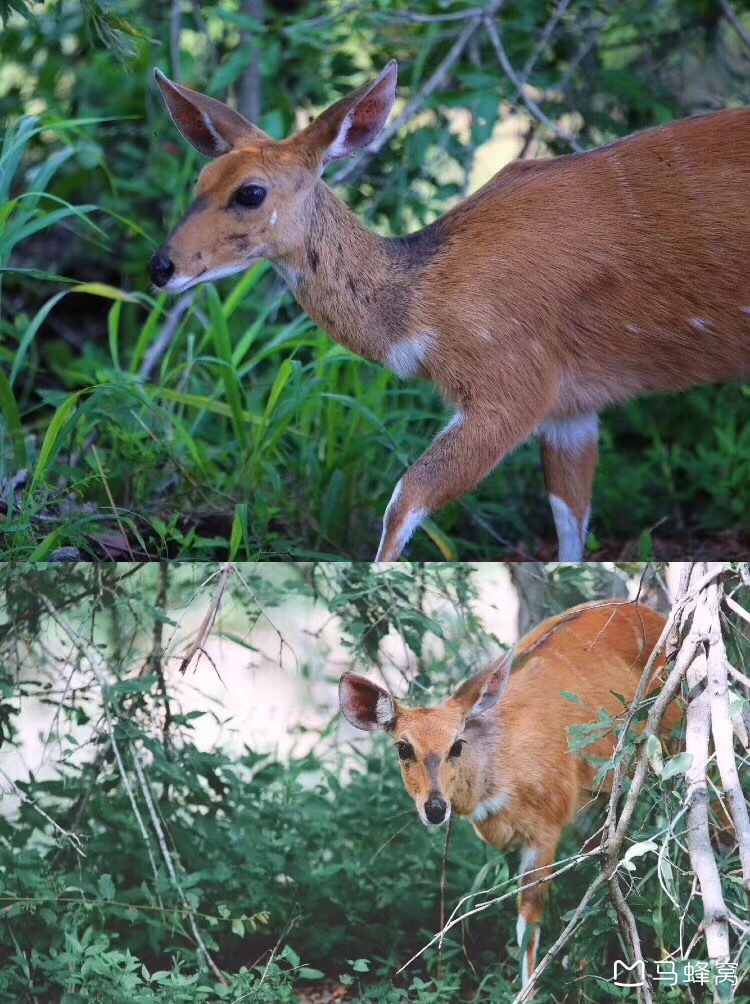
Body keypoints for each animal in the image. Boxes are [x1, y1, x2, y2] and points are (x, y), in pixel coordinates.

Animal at [148, 60, 750, 566]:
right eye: (200, 182)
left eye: (251, 193)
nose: (161, 266)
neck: (426, 303)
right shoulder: (571, 406)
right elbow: (570, 527)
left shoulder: (513, 387)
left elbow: (403, 501)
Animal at [337, 598, 682, 991]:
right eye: (403, 748)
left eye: (457, 744)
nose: (436, 808)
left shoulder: (546, 827)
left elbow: (528, 919)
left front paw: (528, 989)